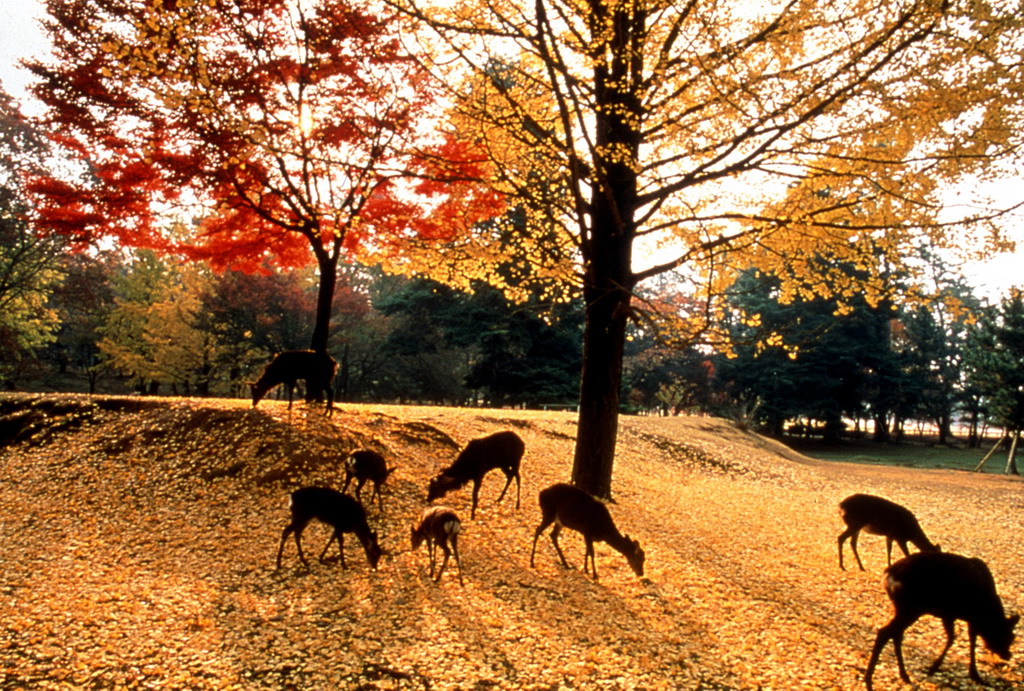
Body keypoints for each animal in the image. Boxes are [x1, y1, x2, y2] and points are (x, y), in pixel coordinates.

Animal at [864, 552, 1015, 691]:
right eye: (1007, 636)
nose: (1008, 655)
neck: (987, 612)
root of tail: (888, 575)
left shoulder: (949, 615)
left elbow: (952, 637)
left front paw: (933, 667)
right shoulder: (970, 617)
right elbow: (969, 639)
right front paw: (975, 675)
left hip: (904, 608)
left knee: (896, 634)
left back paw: (904, 675)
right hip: (911, 607)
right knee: (886, 632)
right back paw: (869, 680)